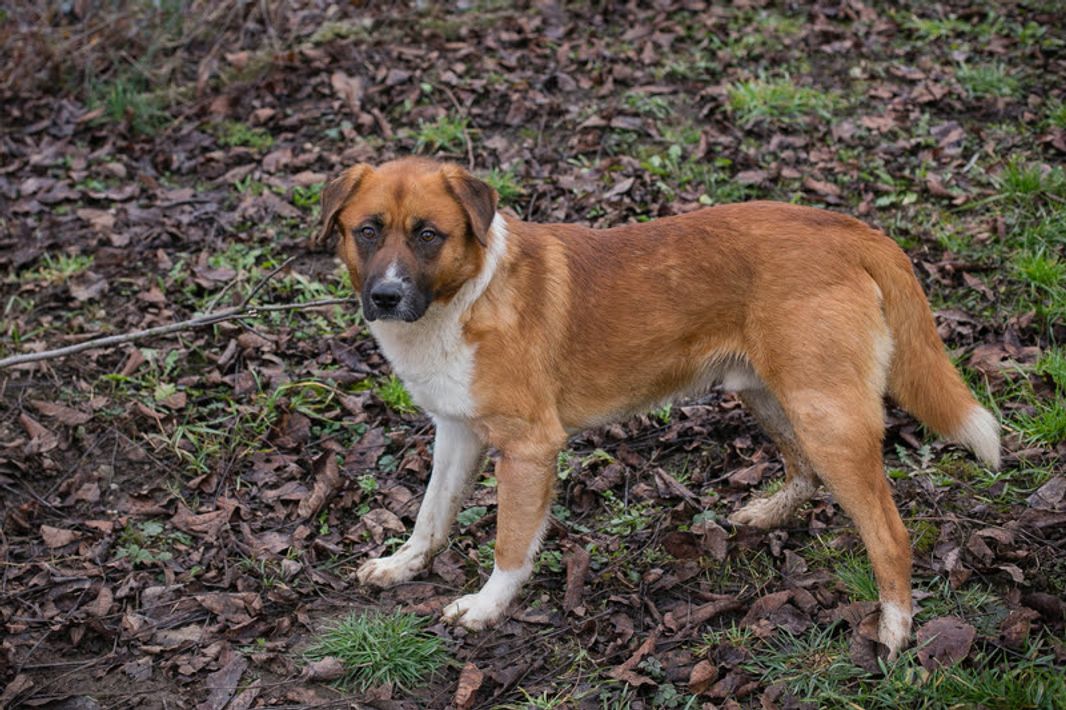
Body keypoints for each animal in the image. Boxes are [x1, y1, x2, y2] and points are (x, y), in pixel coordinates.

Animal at [310, 157, 1000, 659]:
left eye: (429, 235)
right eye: (367, 230)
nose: (385, 296)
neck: (466, 296)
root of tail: (851, 229)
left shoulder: (530, 447)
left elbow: (510, 545)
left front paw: (485, 608)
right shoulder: (456, 432)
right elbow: (431, 517)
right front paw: (403, 566)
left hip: (825, 413)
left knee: (888, 531)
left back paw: (895, 627)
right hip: (769, 394)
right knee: (803, 471)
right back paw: (766, 514)